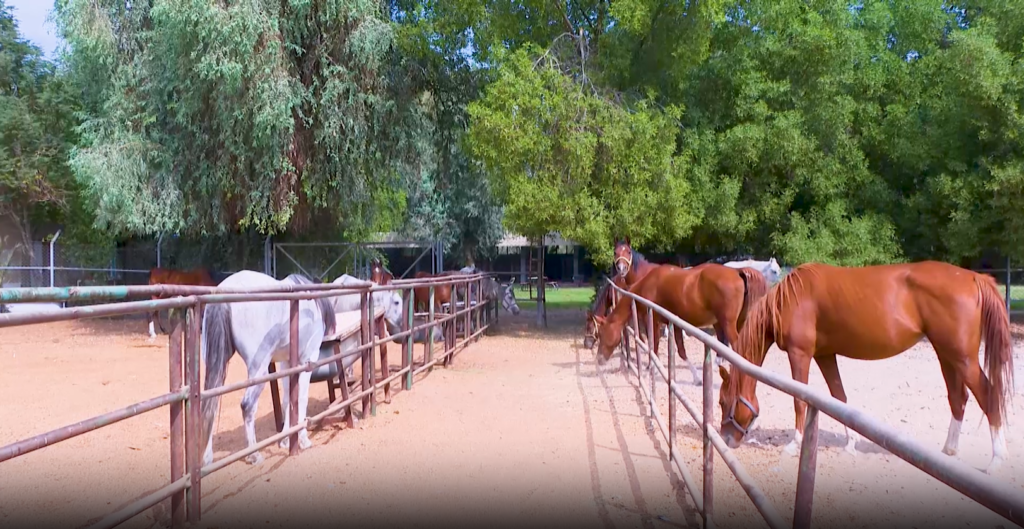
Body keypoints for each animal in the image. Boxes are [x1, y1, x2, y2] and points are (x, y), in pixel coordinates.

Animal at [593, 261, 770, 382]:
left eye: (602, 334)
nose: (599, 359)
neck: (648, 285)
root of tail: (737, 272)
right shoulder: (674, 324)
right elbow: (680, 350)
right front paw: (697, 377)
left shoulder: (654, 321)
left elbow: (654, 345)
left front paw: (652, 367)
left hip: (728, 323)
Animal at [720, 261, 1015, 472]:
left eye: (724, 402)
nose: (725, 439)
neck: (790, 299)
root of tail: (973, 278)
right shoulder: (825, 355)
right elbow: (839, 398)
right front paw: (850, 444)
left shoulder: (800, 354)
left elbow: (799, 399)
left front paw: (793, 445)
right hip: (947, 355)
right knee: (958, 398)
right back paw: (948, 451)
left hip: (963, 358)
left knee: (988, 395)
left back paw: (997, 460)